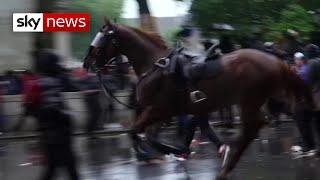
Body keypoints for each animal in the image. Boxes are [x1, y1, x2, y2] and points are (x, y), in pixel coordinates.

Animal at [82, 19, 312, 179]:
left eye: (101, 40)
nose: (86, 63)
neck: (155, 65)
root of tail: (276, 61)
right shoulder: (170, 111)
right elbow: (148, 135)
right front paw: (175, 151)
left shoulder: (159, 109)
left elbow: (137, 133)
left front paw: (171, 151)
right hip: (265, 98)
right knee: (279, 115)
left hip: (250, 100)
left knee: (253, 127)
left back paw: (228, 162)